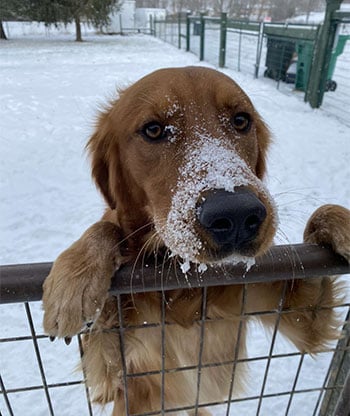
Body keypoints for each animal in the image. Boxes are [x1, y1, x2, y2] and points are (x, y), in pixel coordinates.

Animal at [41, 66, 350, 414]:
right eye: (153, 130)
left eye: (241, 120)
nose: (237, 214)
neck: (185, 283)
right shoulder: (115, 369)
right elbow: (107, 228)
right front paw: (75, 284)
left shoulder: (301, 319)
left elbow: (323, 213)